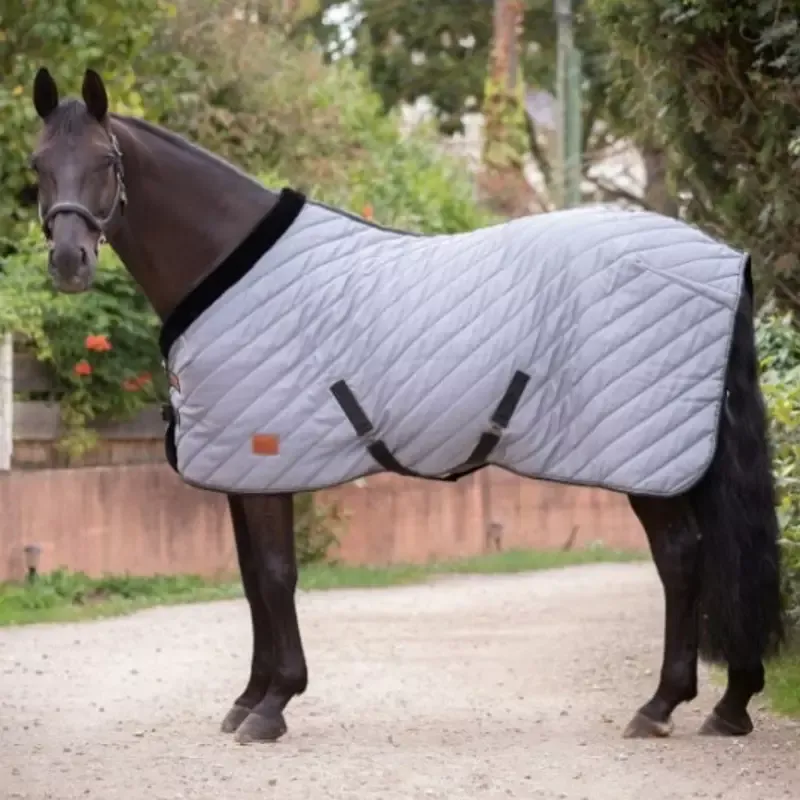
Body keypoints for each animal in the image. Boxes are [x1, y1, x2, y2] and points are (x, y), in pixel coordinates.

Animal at [27, 67, 784, 744]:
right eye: (38, 164)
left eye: (105, 161)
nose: (69, 261)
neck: (229, 263)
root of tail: (723, 258)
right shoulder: (244, 471)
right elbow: (250, 581)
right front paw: (247, 700)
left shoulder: (265, 457)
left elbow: (275, 576)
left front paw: (273, 706)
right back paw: (729, 703)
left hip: (647, 460)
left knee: (680, 559)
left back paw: (661, 706)